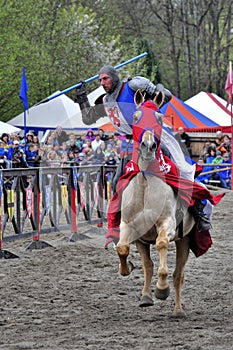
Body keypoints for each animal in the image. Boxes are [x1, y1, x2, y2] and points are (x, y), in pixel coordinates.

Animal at [116, 90, 195, 318]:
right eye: (136, 117)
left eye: (159, 119)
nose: (148, 146)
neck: (145, 184)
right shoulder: (129, 225)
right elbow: (122, 248)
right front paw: (126, 268)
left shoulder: (167, 224)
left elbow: (161, 245)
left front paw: (161, 289)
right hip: (142, 241)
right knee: (148, 265)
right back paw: (145, 297)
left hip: (185, 240)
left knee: (178, 274)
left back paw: (177, 309)